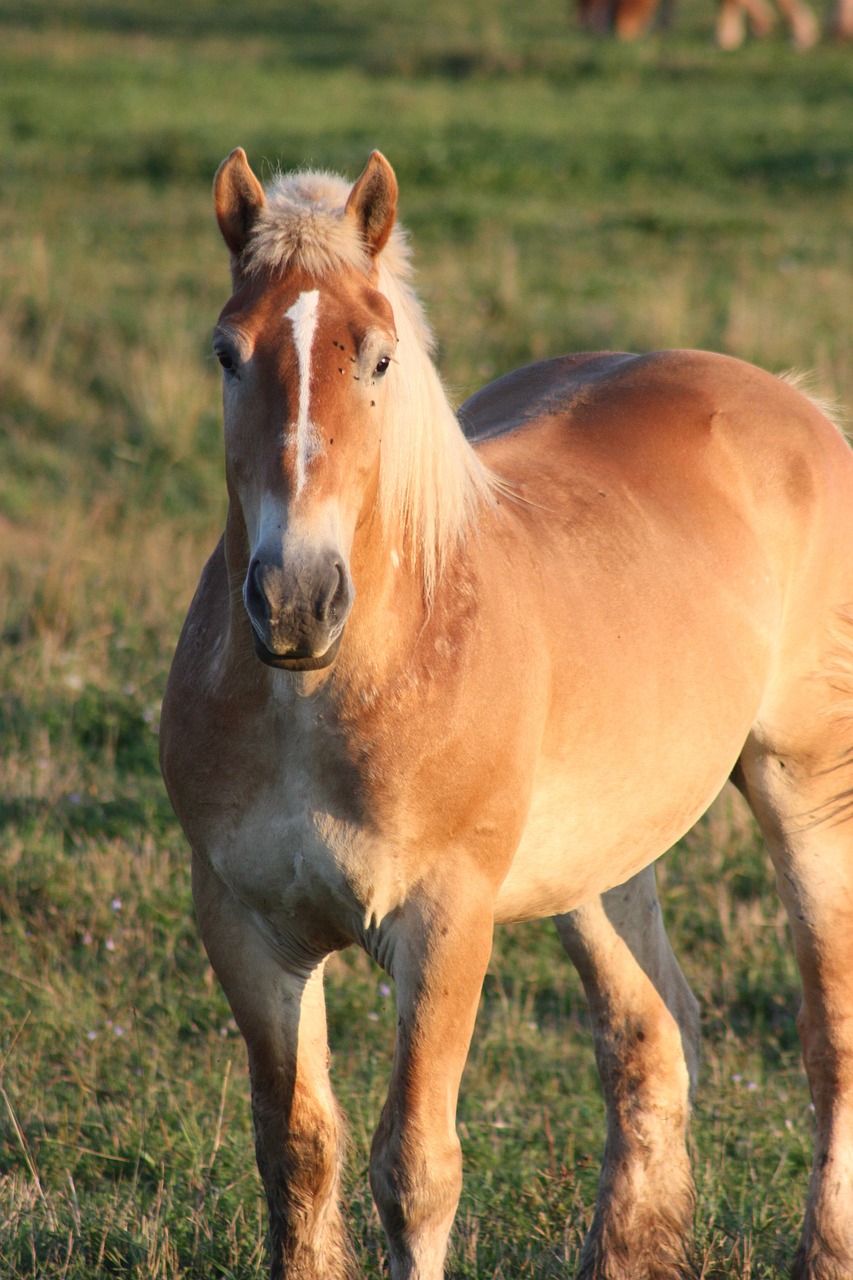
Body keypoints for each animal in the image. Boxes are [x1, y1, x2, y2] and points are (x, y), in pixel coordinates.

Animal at [162, 149, 850, 1280]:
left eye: (379, 358)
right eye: (226, 352)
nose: (296, 599)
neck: (321, 695)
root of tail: (794, 404)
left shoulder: (444, 922)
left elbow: (415, 1170)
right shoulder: (244, 926)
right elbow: (298, 1153)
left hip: (802, 792)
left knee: (825, 1035)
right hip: (599, 860)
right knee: (651, 1038)